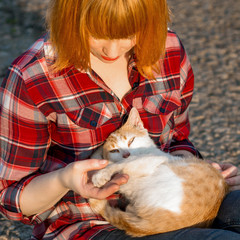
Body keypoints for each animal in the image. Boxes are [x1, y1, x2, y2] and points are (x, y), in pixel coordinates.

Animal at [89, 108, 228, 237]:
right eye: (114, 151)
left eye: (131, 140)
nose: (126, 154)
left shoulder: (150, 160)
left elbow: (122, 164)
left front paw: (101, 173)